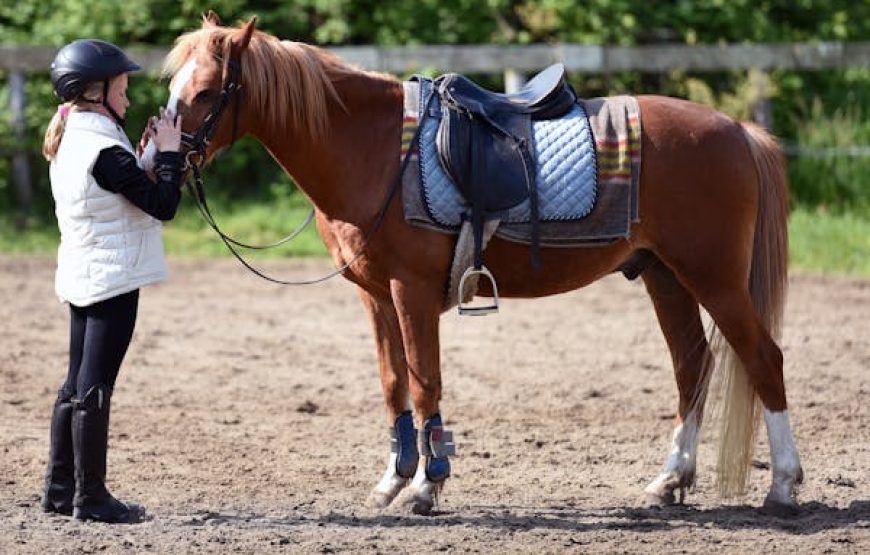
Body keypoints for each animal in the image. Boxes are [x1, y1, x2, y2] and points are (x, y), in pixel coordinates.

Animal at [161, 13, 803, 516]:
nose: (155, 158)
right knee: (693, 366)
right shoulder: (374, 294)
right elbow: (394, 383)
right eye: (174, 85)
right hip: (665, 276)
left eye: (207, 91)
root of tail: (738, 130)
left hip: (714, 278)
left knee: (763, 359)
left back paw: (784, 486)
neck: (371, 149)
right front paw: (393, 480)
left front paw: (427, 486)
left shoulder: (411, 291)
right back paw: (668, 481)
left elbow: (425, 383)